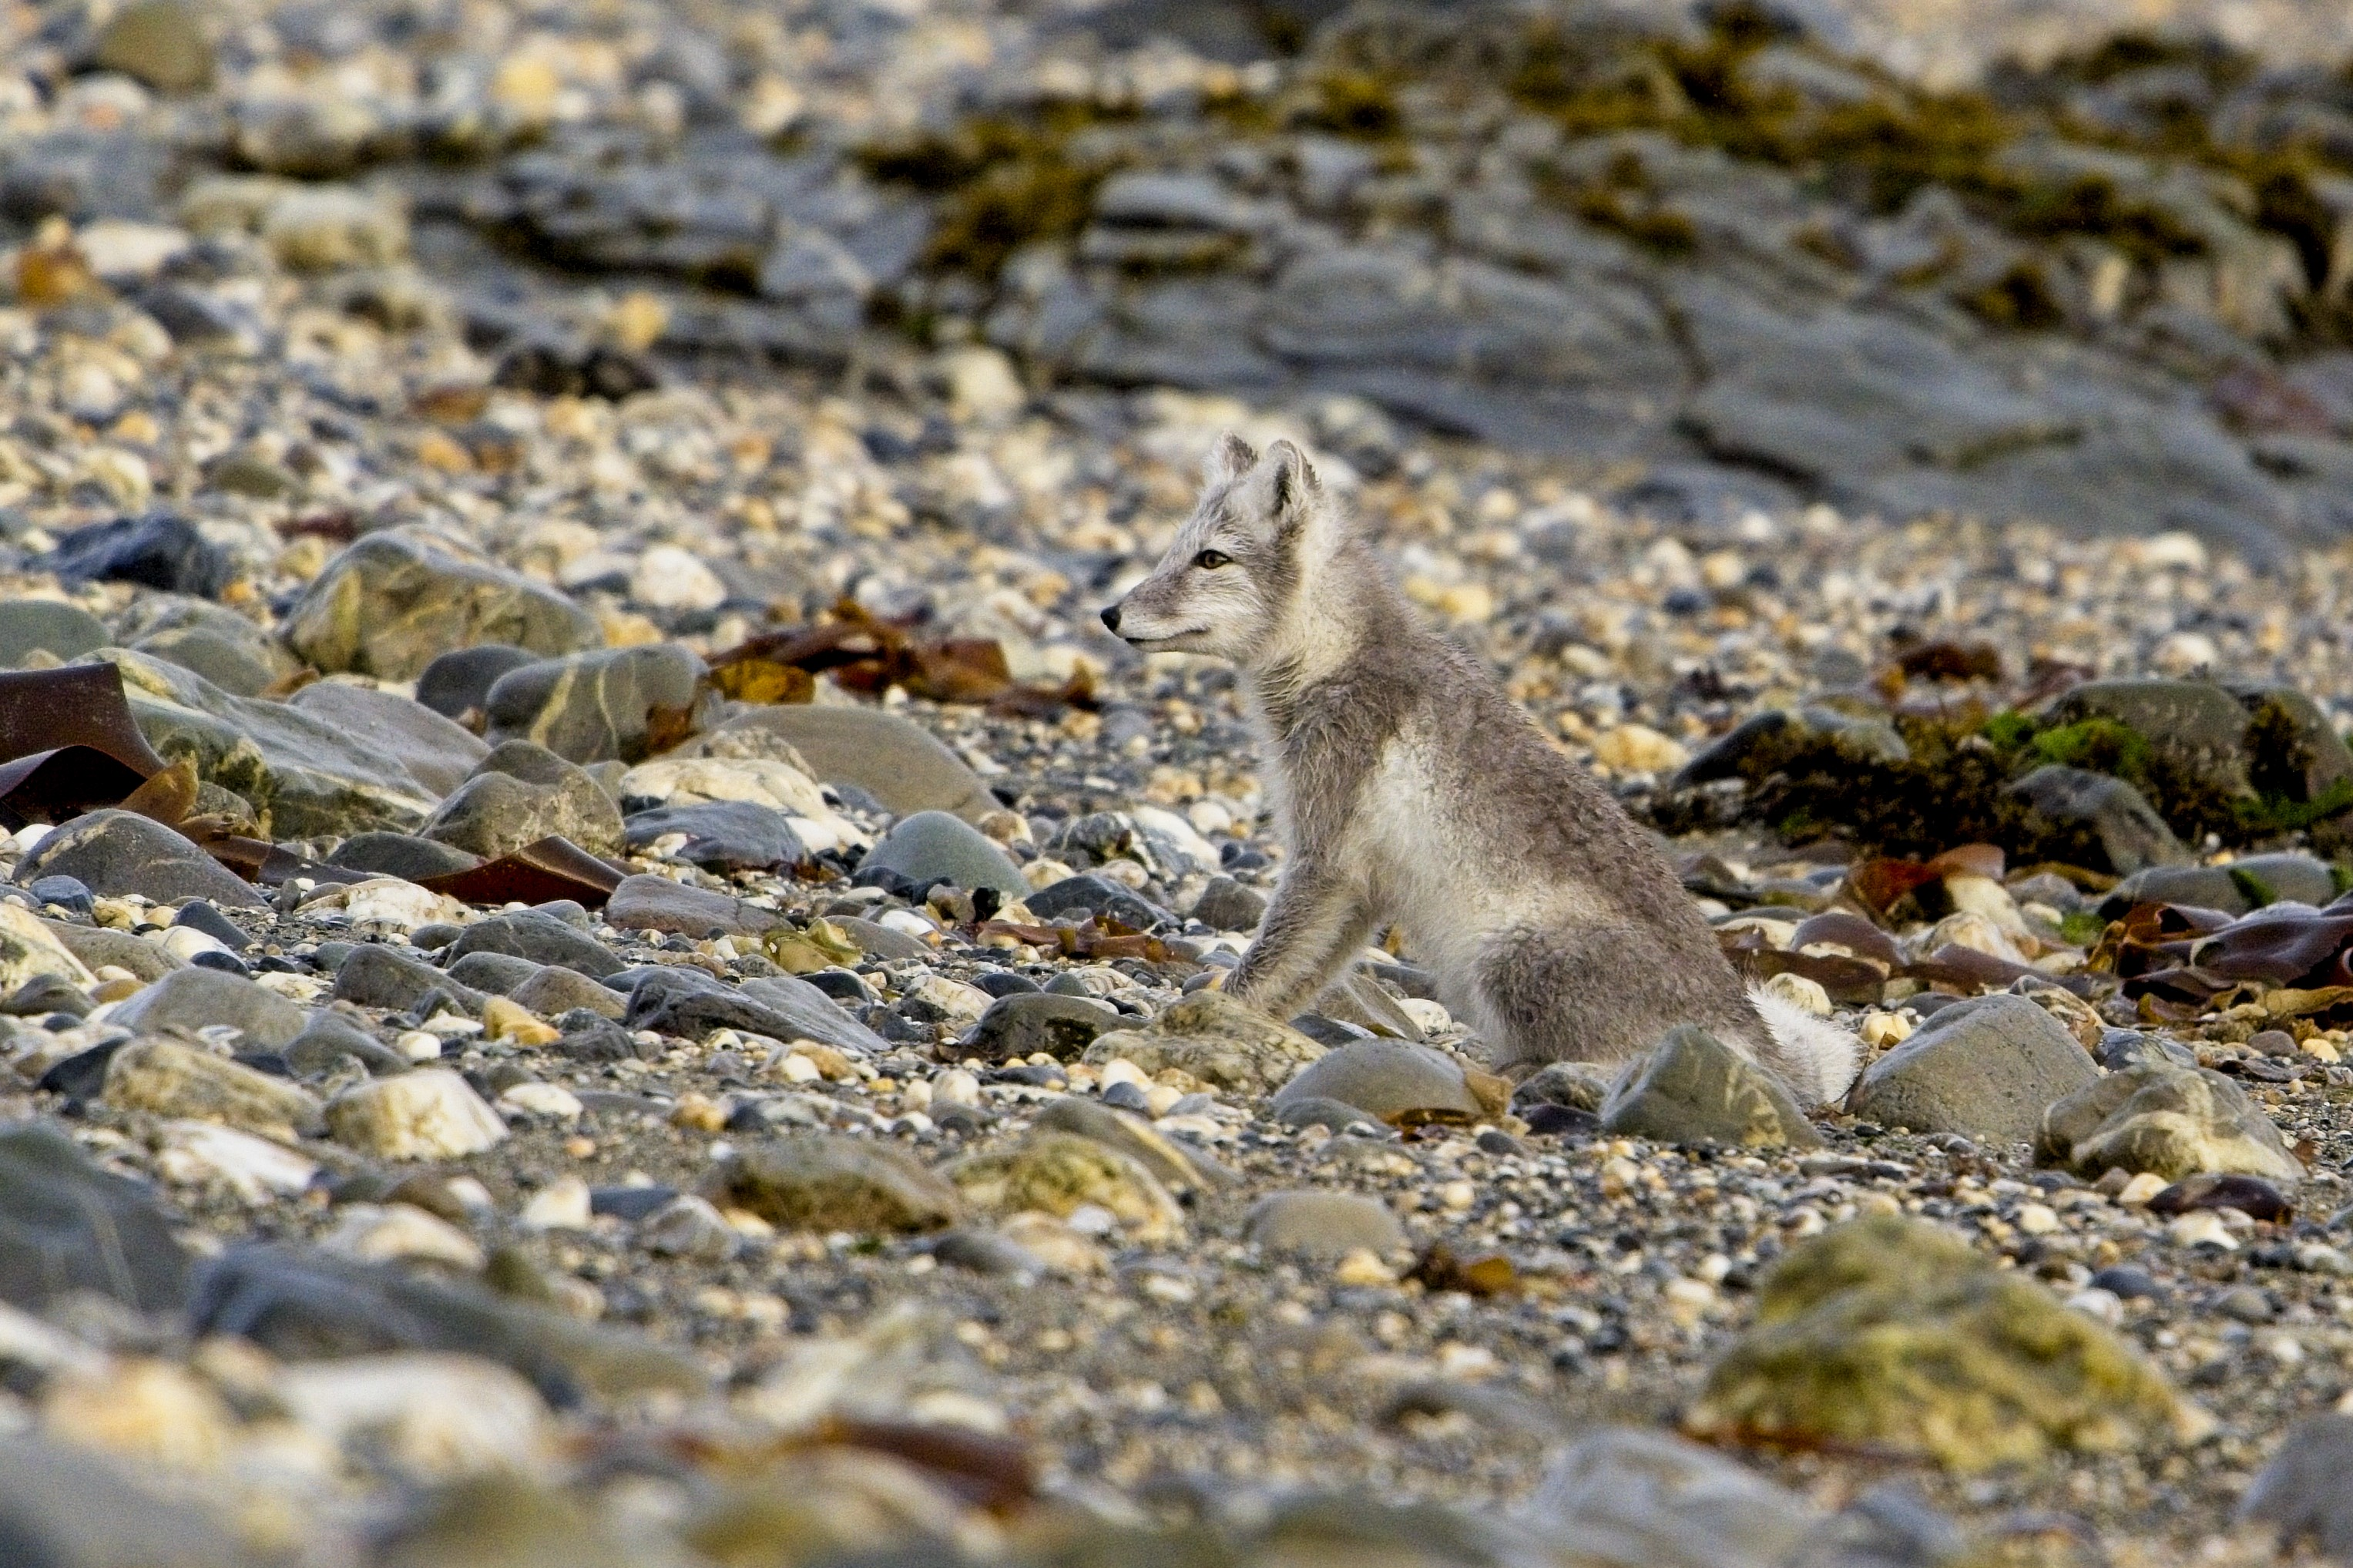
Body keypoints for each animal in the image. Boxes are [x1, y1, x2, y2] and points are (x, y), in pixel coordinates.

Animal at [1096, 433, 1854, 1106]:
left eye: (1212, 559)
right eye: (1175, 551)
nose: (1108, 612)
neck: (1336, 658)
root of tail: (1754, 1035)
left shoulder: (1323, 859)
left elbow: (1262, 967)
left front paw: (1185, 1028)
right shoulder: (1361, 888)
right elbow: (1298, 979)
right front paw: (1244, 1030)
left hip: (1512, 960)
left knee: (1614, 1062)